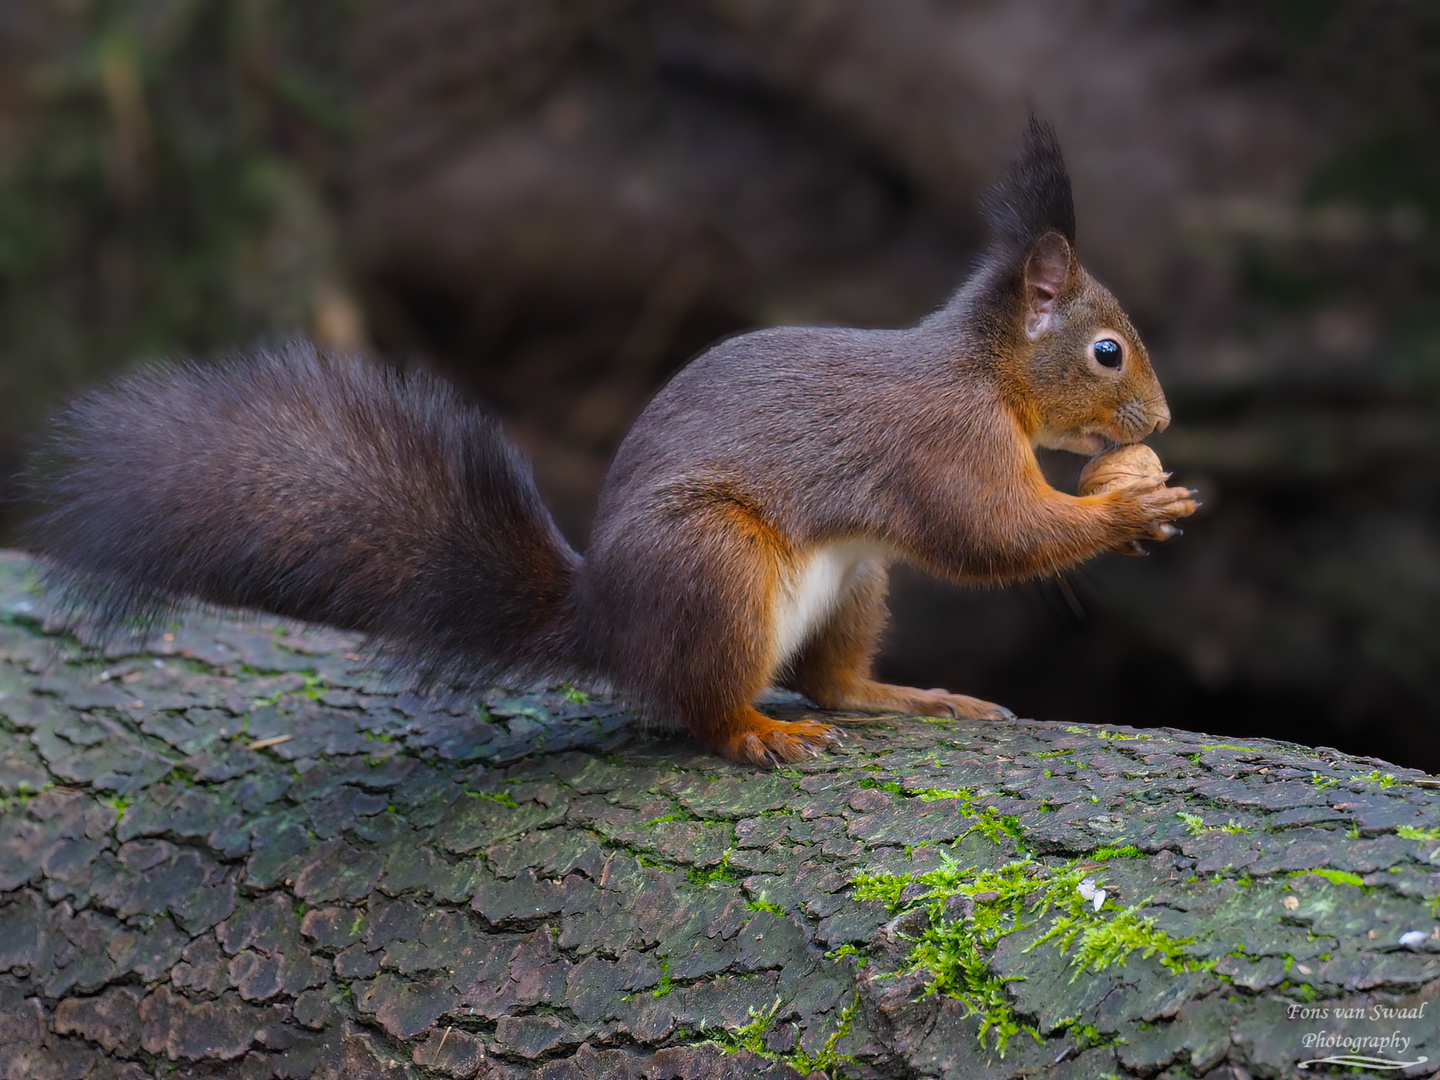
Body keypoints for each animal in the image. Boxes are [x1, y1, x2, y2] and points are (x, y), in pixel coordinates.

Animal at [30, 118, 1192, 771]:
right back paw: (756, 733)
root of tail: (607, 620)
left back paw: (905, 697)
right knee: (702, 705)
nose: (1165, 424)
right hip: (715, 565)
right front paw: (1128, 506)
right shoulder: (944, 443)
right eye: (1106, 352)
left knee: (831, 682)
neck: (985, 373)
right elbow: (992, 532)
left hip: (854, 583)